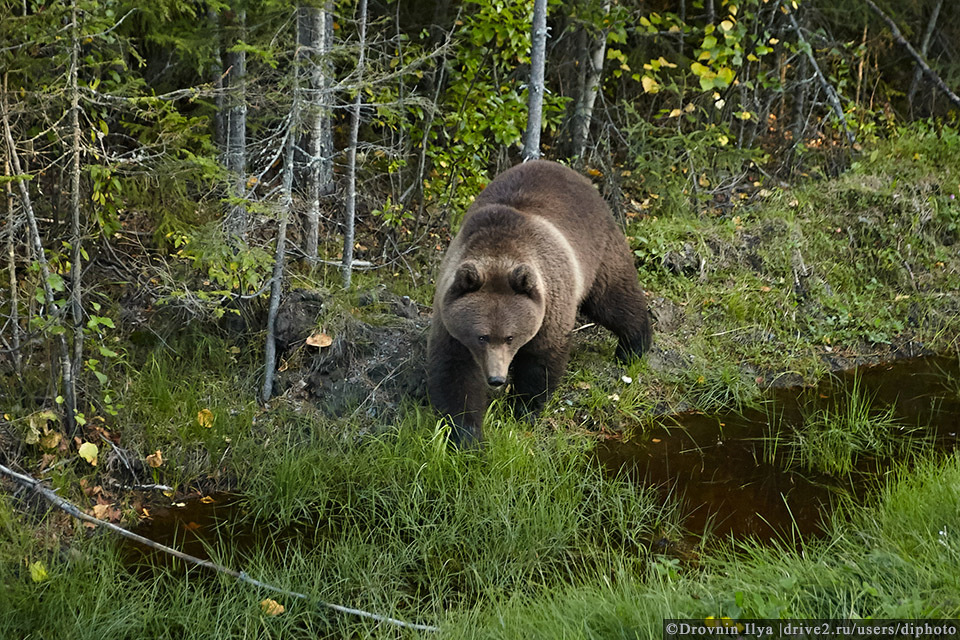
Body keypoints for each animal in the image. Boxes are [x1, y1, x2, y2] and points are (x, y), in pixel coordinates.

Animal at [428, 160, 652, 448]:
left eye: (510, 337)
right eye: (481, 336)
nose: (496, 378)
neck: (499, 252)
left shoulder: (550, 302)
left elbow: (541, 359)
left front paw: (524, 409)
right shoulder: (451, 321)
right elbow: (455, 372)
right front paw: (466, 434)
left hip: (598, 249)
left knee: (613, 299)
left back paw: (633, 347)